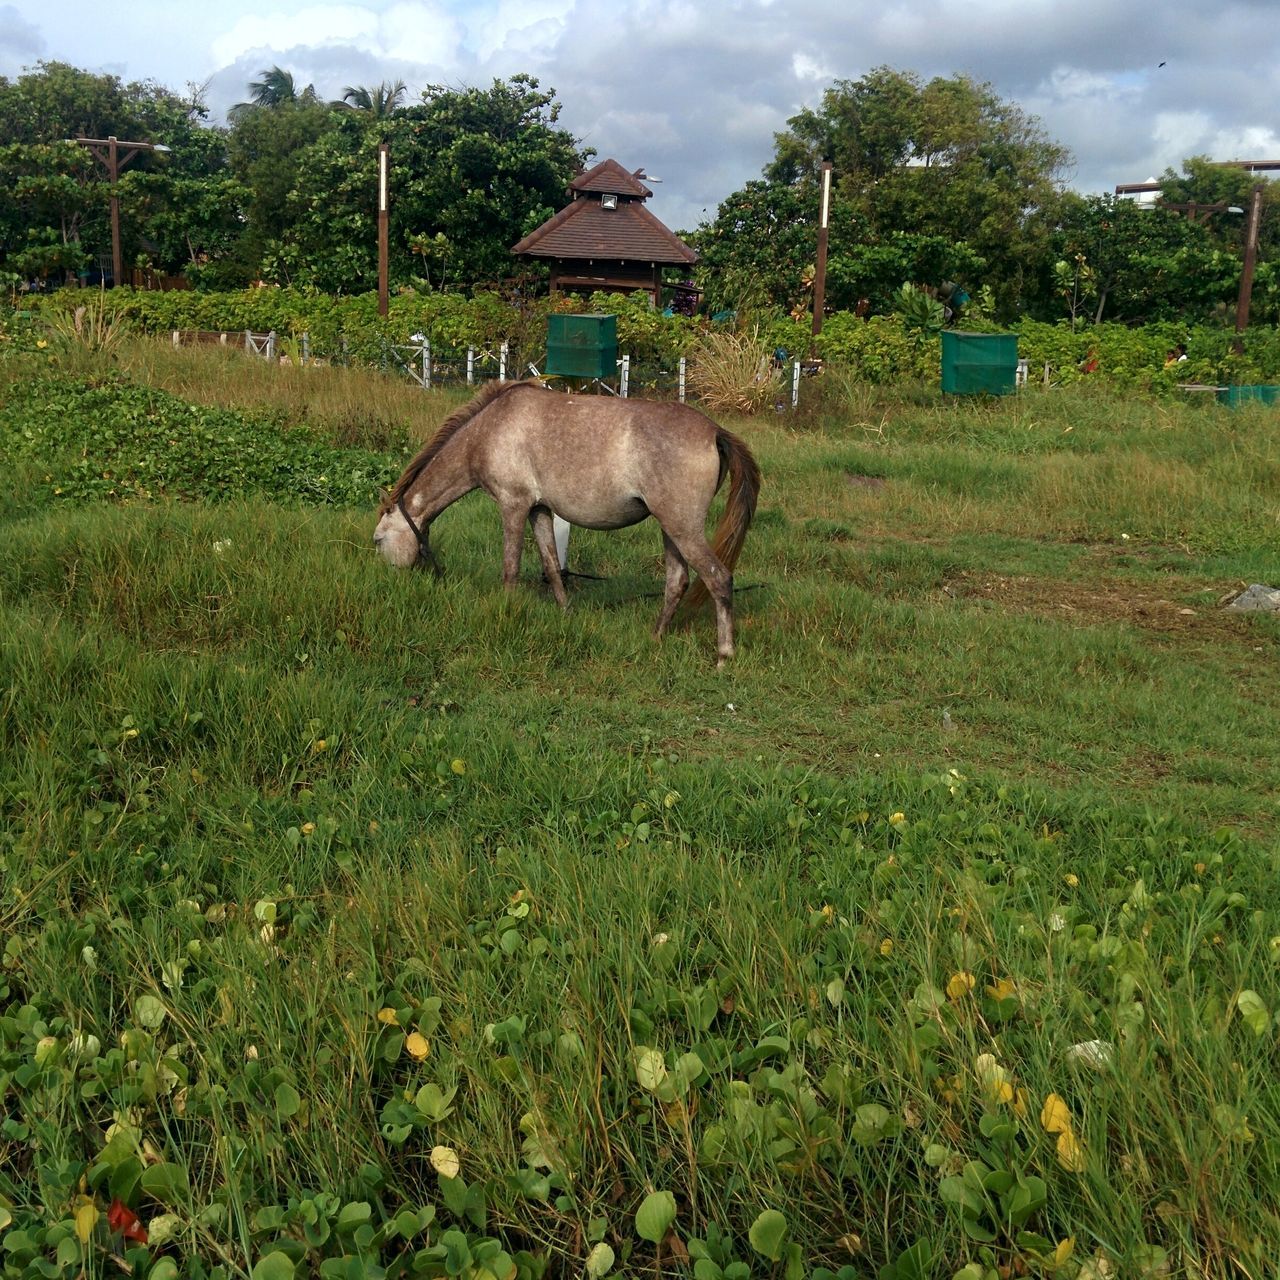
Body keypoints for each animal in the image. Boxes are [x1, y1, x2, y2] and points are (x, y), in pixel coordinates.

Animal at [376, 376, 757, 660]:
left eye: (379, 541)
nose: (394, 584)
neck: (488, 430)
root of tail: (715, 431)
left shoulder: (513, 506)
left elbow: (511, 568)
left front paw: (507, 611)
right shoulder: (539, 510)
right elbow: (551, 564)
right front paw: (565, 613)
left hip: (683, 529)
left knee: (718, 578)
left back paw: (724, 655)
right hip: (671, 529)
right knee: (677, 581)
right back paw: (656, 636)